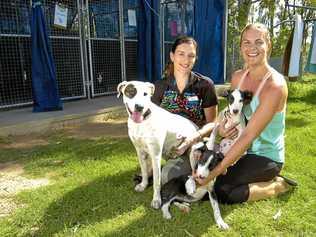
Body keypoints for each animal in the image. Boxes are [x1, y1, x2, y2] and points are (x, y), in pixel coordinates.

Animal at [117, 81, 199, 209]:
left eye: (145, 94)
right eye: (131, 92)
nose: (139, 107)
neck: (142, 123)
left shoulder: (155, 155)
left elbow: (157, 181)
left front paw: (156, 200)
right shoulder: (140, 152)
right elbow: (144, 171)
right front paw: (143, 185)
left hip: (192, 152)